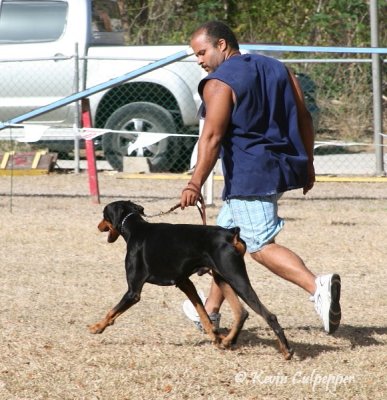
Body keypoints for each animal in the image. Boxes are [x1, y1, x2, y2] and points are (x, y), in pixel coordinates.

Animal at [90, 200, 294, 360]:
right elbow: (203, 314)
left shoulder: (133, 291)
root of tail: (231, 233)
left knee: (268, 315)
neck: (135, 228)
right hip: (222, 278)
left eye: (104, 215)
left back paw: (286, 350)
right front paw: (215, 337)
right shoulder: (185, 283)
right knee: (241, 312)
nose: (98, 226)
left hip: (235, 277)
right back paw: (227, 341)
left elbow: (112, 311)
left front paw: (97, 327)